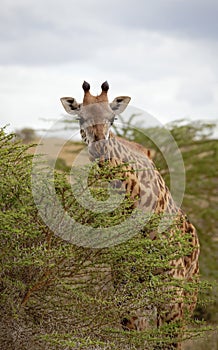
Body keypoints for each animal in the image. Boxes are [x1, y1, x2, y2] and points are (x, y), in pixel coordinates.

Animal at [60, 81, 200, 350]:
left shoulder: (171, 290)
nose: (100, 145)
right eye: (81, 118)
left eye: (113, 118)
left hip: (188, 294)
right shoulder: (124, 286)